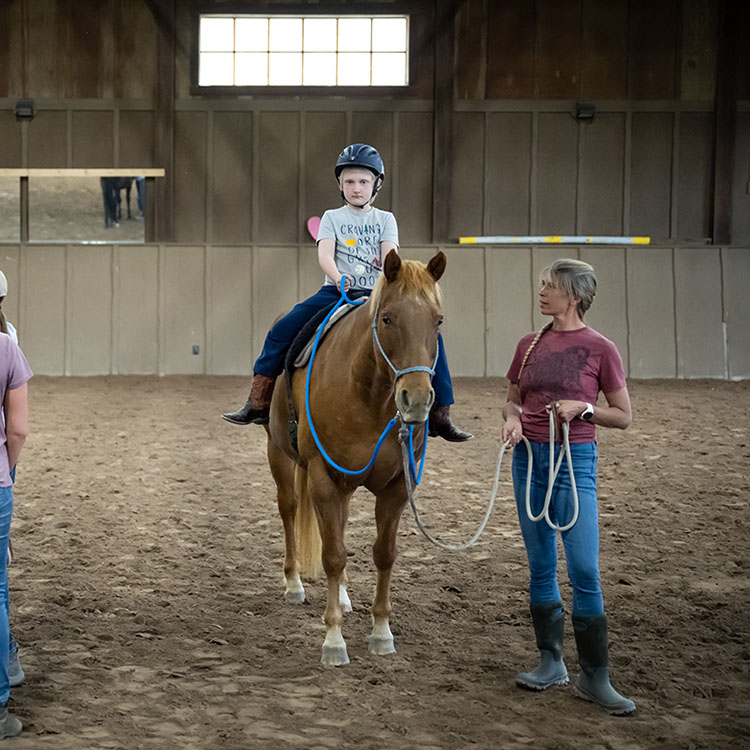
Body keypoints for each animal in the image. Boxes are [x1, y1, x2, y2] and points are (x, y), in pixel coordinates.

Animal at [266, 251, 446, 668]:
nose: (416, 399)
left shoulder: (397, 487)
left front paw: (381, 633)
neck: (370, 397)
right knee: (289, 509)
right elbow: (333, 556)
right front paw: (333, 641)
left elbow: (384, 554)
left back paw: (345, 596)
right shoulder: (322, 477)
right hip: (280, 456)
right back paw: (293, 583)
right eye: (387, 318)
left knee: (342, 525)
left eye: (438, 320)